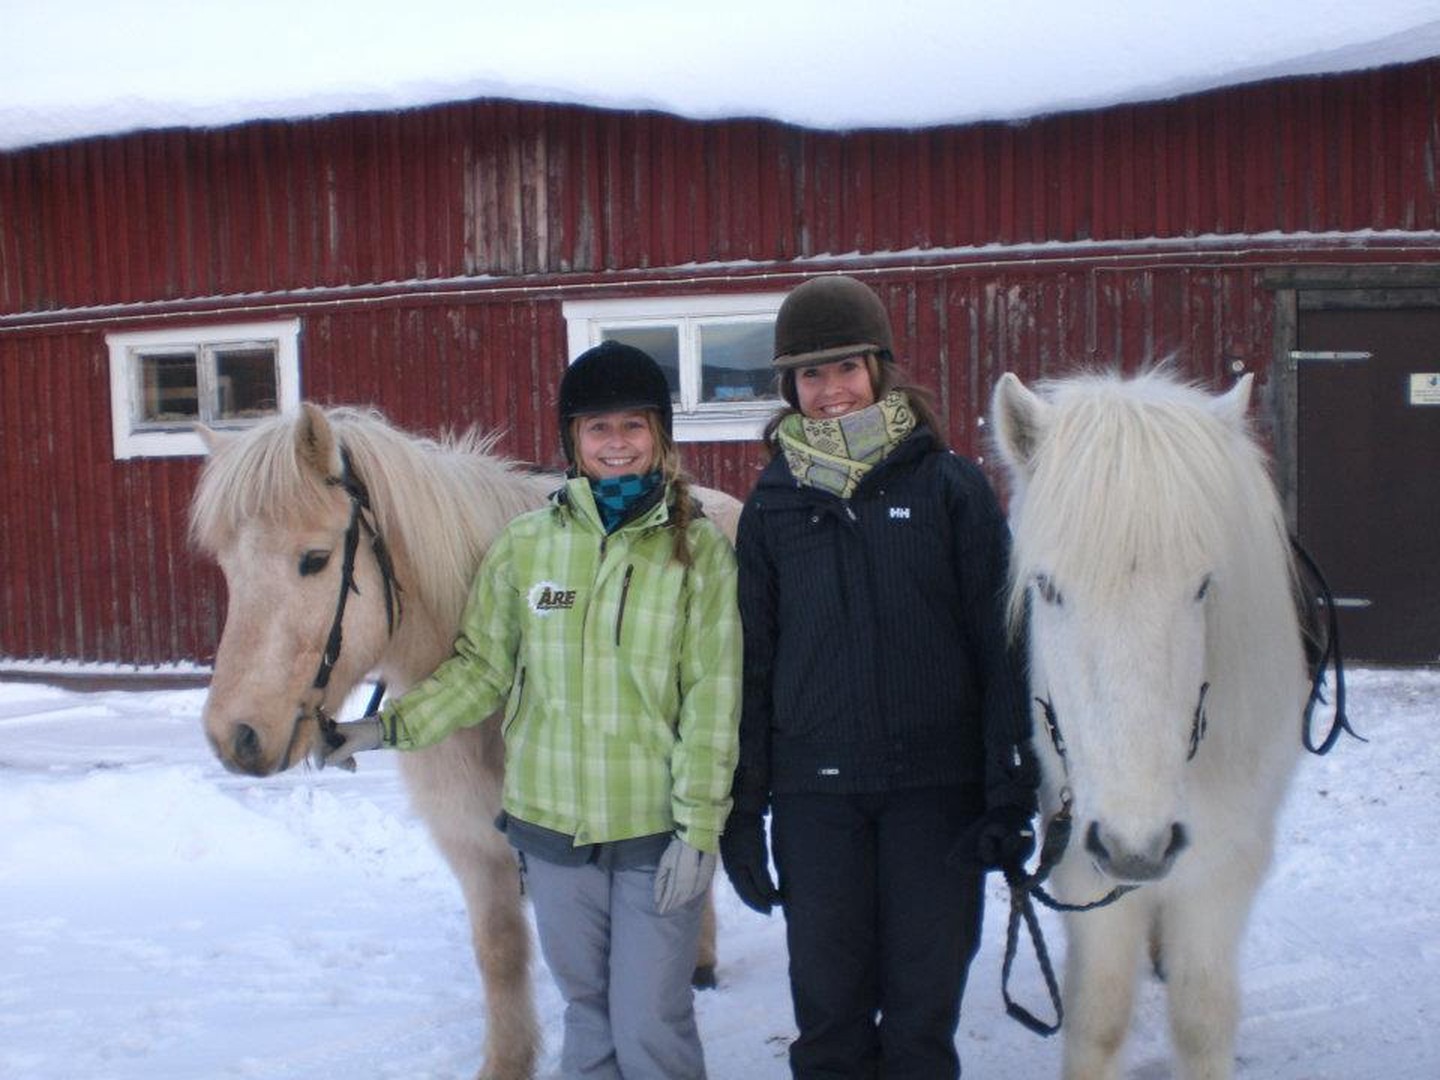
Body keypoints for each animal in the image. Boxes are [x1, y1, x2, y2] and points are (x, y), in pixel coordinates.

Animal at [990, 370, 1309, 1080]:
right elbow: (1099, 1019)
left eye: (1203, 587)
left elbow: (1202, 1019)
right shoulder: (1082, 861)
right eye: (1048, 588)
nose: (1137, 847)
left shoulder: (1224, 866)